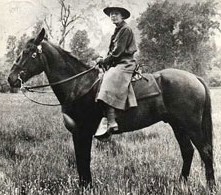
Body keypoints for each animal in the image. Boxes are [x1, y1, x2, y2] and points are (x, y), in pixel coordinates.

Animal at [7, 29, 215, 189]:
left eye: (29, 52)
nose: (11, 79)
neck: (79, 85)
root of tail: (195, 78)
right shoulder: (77, 133)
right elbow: (81, 161)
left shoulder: (82, 132)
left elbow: (84, 160)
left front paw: (86, 187)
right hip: (177, 125)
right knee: (187, 151)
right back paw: (182, 183)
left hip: (191, 126)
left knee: (205, 152)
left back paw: (210, 186)